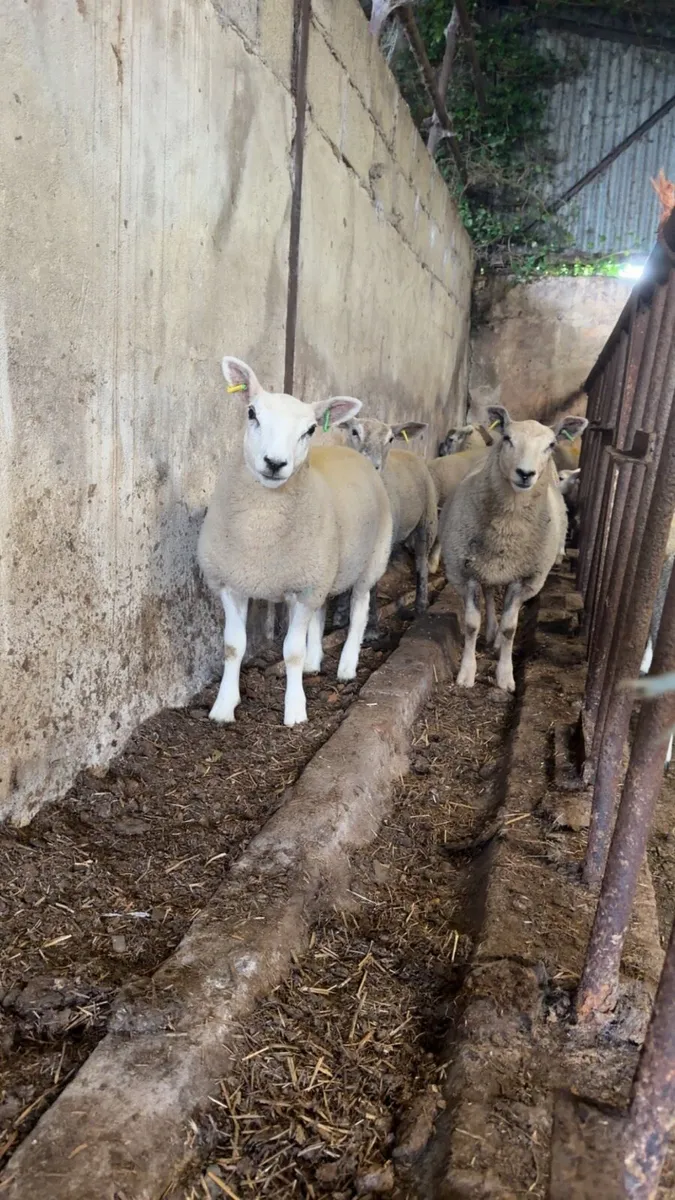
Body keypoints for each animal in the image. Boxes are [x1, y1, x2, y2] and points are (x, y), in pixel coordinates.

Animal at [197, 357, 393, 727]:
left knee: (359, 612)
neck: (261, 531)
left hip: (371, 561)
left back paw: (346, 666)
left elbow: (291, 651)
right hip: (324, 570)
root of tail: (355, 455)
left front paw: (295, 710)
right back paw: (316, 662)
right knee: (321, 613)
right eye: (252, 413)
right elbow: (233, 646)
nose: (275, 463)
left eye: (311, 430)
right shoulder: (231, 582)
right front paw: (223, 707)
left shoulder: (304, 587)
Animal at [340, 417, 438, 616]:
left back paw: (421, 605)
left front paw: (371, 621)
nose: (372, 465)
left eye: (390, 439)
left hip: (428, 521)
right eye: (354, 432)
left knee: (421, 563)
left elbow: (371, 586)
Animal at [439, 405, 588, 693]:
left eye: (551, 445)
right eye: (507, 438)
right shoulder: (466, 572)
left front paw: (505, 676)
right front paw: (467, 672)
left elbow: (511, 628)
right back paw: (491, 632)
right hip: (485, 567)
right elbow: (471, 624)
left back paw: (498, 641)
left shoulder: (526, 578)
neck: (506, 531)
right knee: (489, 594)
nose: (525, 473)